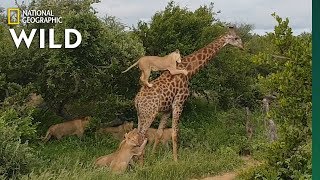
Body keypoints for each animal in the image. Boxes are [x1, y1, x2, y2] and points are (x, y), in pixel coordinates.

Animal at [134, 26, 242, 162]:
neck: (189, 71)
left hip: (140, 114)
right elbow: (175, 132)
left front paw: (153, 156)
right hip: (149, 114)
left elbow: (159, 133)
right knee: (141, 136)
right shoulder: (179, 102)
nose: (242, 47)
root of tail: (137, 100)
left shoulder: (167, 109)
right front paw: (176, 160)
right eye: (236, 38)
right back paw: (140, 163)